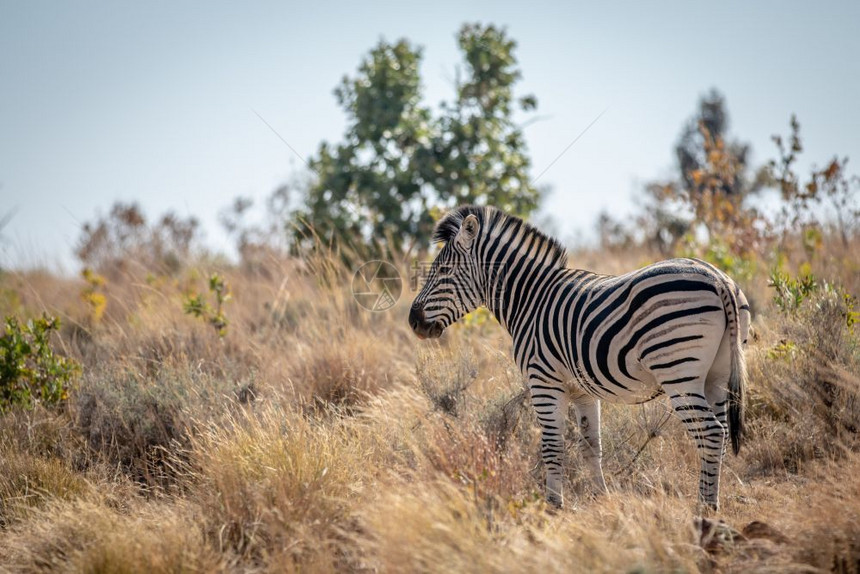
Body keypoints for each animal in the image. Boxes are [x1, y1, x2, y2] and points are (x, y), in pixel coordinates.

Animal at [406, 205, 748, 510]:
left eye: (443, 271)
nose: (413, 321)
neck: (530, 299)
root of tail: (718, 279)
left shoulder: (543, 382)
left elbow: (552, 447)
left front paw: (553, 506)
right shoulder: (583, 390)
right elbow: (591, 446)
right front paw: (601, 499)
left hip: (678, 372)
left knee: (711, 433)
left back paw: (704, 509)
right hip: (717, 376)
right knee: (719, 434)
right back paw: (711, 501)